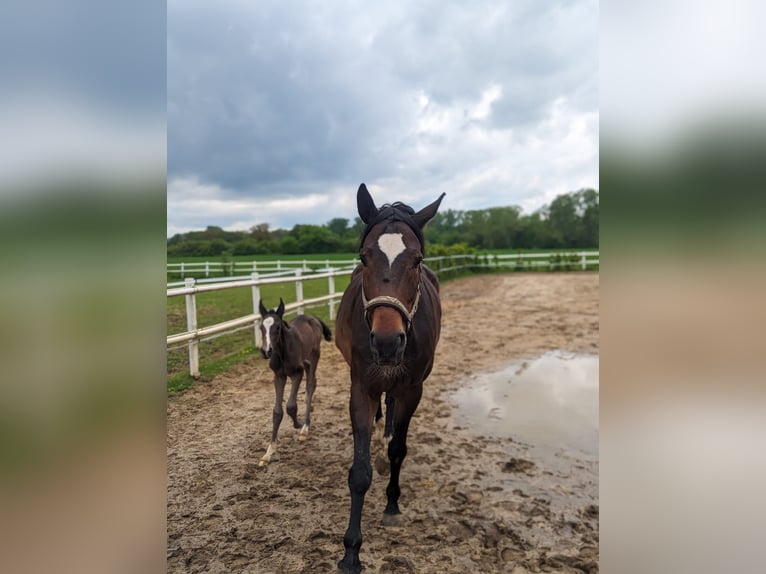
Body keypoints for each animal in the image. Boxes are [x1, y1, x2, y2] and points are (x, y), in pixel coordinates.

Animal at [258, 300, 332, 470]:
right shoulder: (278, 376)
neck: (282, 352)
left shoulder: (297, 373)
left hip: (314, 355)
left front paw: (299, 424)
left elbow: (291, 406)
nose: (266, 351)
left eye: (277, 327)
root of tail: (313, 317)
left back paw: (305, 428)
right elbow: (277, 412)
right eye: (261, 327)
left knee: (311, 384)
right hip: (306, 360)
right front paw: (268, 453)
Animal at [334, 183, 444, 572]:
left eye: (417, 260)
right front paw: (351, 551)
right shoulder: (361, 389)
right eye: (364, 257)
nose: (385, 341)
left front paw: (392, 504)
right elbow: (360, 472)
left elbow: (398, 450)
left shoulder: (413, 390)